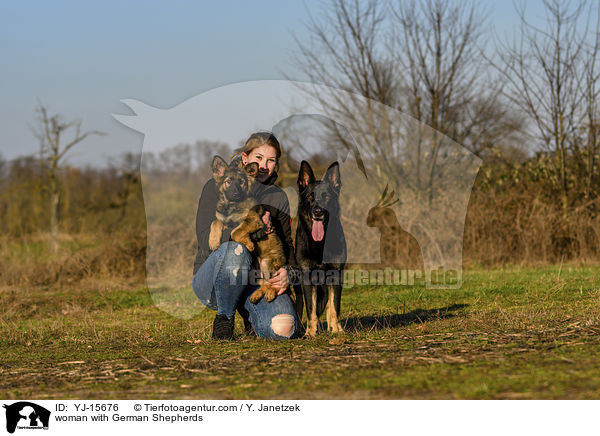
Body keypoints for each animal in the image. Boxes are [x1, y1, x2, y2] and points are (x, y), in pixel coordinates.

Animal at [296, 162, 346, 336]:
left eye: (326, 197)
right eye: (311, 196)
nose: (318, 212)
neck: (319, 244)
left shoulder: (336, 274)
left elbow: (335, 307)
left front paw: (336, 331)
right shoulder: (307, 277)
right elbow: (310, 309)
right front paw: (310, 334)